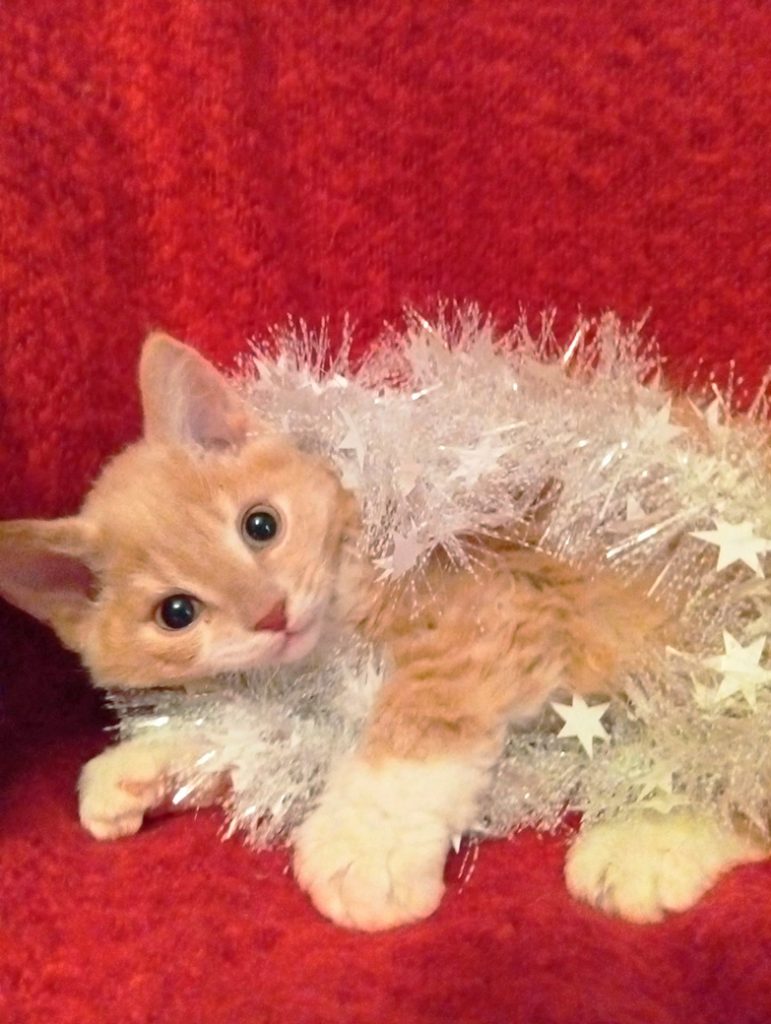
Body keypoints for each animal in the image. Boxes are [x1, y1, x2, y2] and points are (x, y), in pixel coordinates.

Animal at [0, 332, 764, 930]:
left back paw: (644, 844)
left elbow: (421, 719)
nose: (271, 612)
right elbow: (259, 737)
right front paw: (137, 766)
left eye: (260, 524)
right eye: (176, 612)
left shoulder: (495, 601)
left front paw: (364, 847)